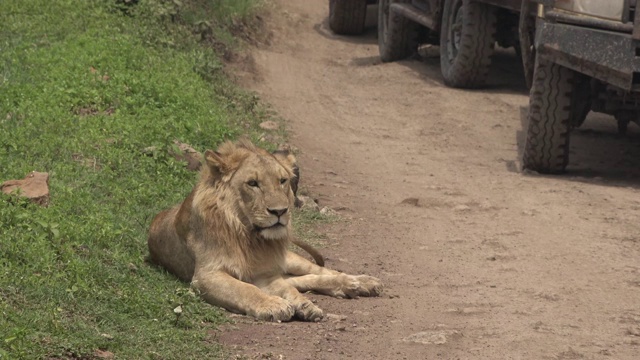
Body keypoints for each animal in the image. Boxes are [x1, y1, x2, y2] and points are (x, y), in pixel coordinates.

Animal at [148, 139, 382, 320]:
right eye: (252, 183)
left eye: (282, 181)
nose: (279, 211)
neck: (250, 237)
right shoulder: (207, 275)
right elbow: (245, 289)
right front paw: (275, 305)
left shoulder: (264, 272)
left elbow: (287, 288)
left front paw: (303, 305)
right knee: (302, 280)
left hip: (290, 259)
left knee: (319, 272)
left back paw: (360, 282)